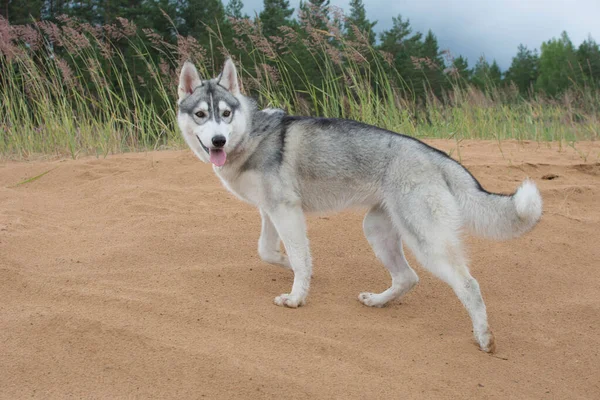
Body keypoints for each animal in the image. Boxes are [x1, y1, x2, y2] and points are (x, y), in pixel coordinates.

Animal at [177, 57, 544, 352]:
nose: (218, 141)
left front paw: (296, 296)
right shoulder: (270, 211)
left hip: (426, 243)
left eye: (226, 114)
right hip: (377, 230)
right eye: (201, 114)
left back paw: (483, 337)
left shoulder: (286, 211)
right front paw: (291, 267)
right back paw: (378, 301)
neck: (251, 135)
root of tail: (436, 156)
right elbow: (269, 251)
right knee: (408, 278)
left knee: (468, 284)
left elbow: (298, 257)